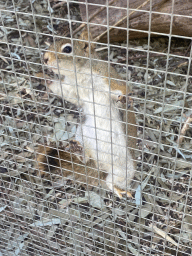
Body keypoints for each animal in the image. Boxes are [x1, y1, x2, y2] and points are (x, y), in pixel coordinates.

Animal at [36, 30, 136, 198]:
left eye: (67, 49)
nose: (45, 58)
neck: (80, 74)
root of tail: (100, 165)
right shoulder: (71, 89)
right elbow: (63, 91)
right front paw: (45, 78)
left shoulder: (108, 79)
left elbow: (121, 90)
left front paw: (125, 99)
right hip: (84, 134)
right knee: (92, 163)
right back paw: (80, 152)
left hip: (126, 169)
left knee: (113, 181)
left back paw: (118, 190)